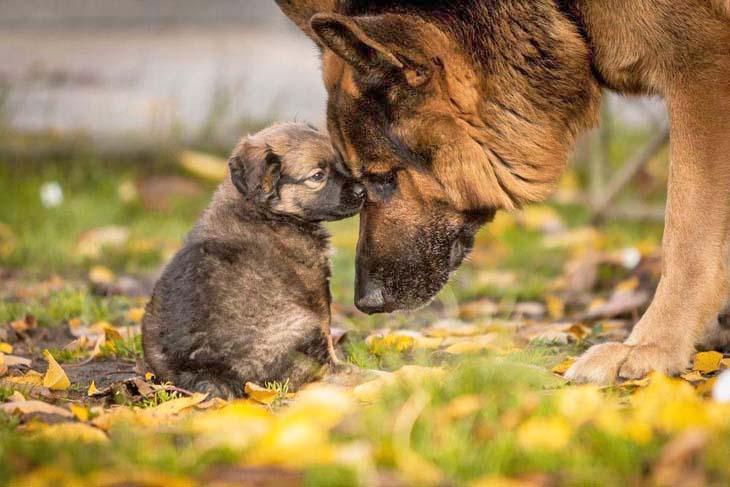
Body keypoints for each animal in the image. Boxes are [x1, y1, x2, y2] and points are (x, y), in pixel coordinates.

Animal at [141, 123, 364, 400]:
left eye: (340, 163)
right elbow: (327, 331)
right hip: (303, 324)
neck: (264, 211)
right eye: (317, 176)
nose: (363, 191)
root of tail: (204, 370)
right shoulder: (316, 292)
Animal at [272, 1, 728, 386]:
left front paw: (651, 346)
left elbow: (685, 238)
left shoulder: (702, 69)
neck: (567, 12)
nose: (364, 302)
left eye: (382, 177)